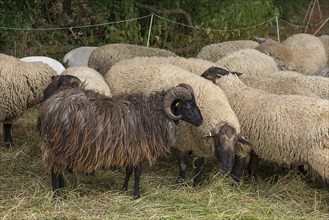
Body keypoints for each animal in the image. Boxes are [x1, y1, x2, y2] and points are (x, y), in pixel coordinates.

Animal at [105, 56, 249, 186]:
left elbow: (200, 164)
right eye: (218, 142)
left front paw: (197, 183)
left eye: (236, 143)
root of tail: (120, 63)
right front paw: (181, 180)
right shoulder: (182, 139)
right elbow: (183, 162)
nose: (226, 169)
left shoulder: (200, 142)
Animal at [200, 68, 328, 181]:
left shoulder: (242, 142)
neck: (236, 94)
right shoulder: (257, 142)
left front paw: (234, 183)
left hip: (322, 156)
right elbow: (252, 165)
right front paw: (251, 179)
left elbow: (238, 167)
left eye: (208, 77)